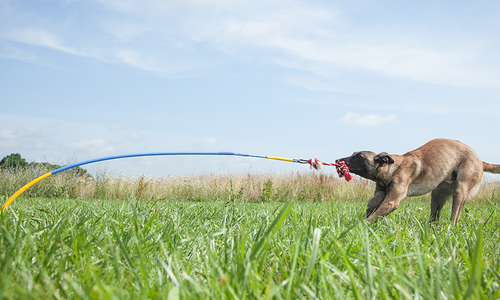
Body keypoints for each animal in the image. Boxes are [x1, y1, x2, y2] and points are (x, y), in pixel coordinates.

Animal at [336, 138, 500, 225]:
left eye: (359, 156)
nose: (338, 160)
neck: (393, 168)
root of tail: (480, 160)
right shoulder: (379, 196)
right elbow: (369, 208)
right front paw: (352, 224)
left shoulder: (391, 201)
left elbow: (373, 216)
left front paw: (360, 227)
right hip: (437, 194)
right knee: (435, 216)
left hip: (460, 191)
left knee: (455, 217)